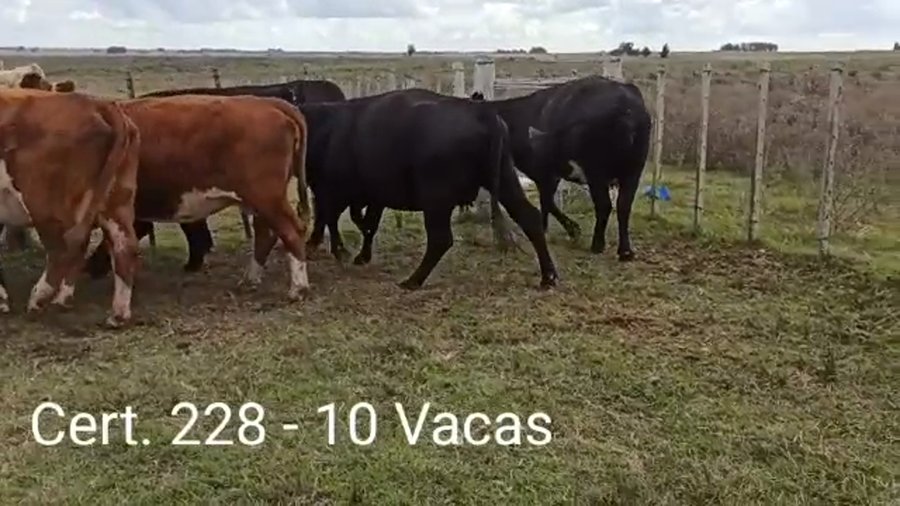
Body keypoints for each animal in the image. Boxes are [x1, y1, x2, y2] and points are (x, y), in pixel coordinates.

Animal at [0, 88, 141, 326]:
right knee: (124, 244)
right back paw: (118, 314)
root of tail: (96, 103)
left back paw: (39, 299)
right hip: (117, 199)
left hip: (44, 205)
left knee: (62, 249)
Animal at [82, 94, 313, 301]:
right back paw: (251, 280)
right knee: (266, 234)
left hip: (267, 197)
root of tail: (268, 102)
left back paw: (298, 289)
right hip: (259, 201)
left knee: (291, 231)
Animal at [299, 88, 559, 289]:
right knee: (530, 218)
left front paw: (336, 250)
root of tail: (480, 112)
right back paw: (549, 277)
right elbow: (367, 224)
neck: (326, 127)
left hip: (437, 199)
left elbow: (331, 219)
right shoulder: (373, 196)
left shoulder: (331, 191)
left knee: (440, 239)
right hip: (505, 180)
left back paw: (413, 281)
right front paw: (361, 256)